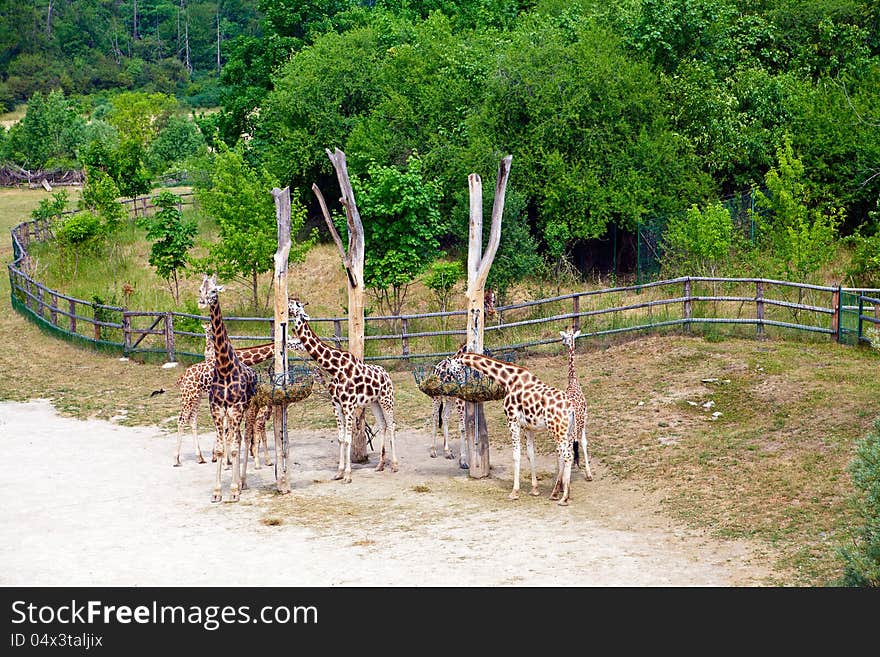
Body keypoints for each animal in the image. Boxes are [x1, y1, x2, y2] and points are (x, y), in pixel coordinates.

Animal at [198, 272, 256, 502]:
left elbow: (232, 449)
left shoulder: (236, 408)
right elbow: (222, 449)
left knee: (243, 439)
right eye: (200, 289)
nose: (202, 301)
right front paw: (216, 492)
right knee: (236, 439)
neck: (224, 367)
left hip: (247, 409)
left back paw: (241, 484)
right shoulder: (216, 409)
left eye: (214, 290)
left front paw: (232, 490)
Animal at [288, 298, 398, 482]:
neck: (335, 368)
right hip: (374, 402)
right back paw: (380, 465)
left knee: (391, 425)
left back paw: (395, 465)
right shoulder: (337, 405)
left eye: (297, 304)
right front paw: (339, 472)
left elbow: (347, 439)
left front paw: (347, 474)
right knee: (383, 425)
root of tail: (387, 374)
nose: (288, 301)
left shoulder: (349, 405)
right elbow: (340, 439)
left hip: (386, 399)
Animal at [446, 346, 576, 504]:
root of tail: (570, 408)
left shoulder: (512, 420)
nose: (459, 386)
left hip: (557, 430)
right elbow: (530, 455)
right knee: (566, 455)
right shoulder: (528, 426)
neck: (508, 379)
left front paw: (514, 492)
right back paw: (558, 493)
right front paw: (534, 489)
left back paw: (564, 497)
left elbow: (516, 455)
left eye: (452, 370)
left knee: (567, 456)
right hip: (567, 432)